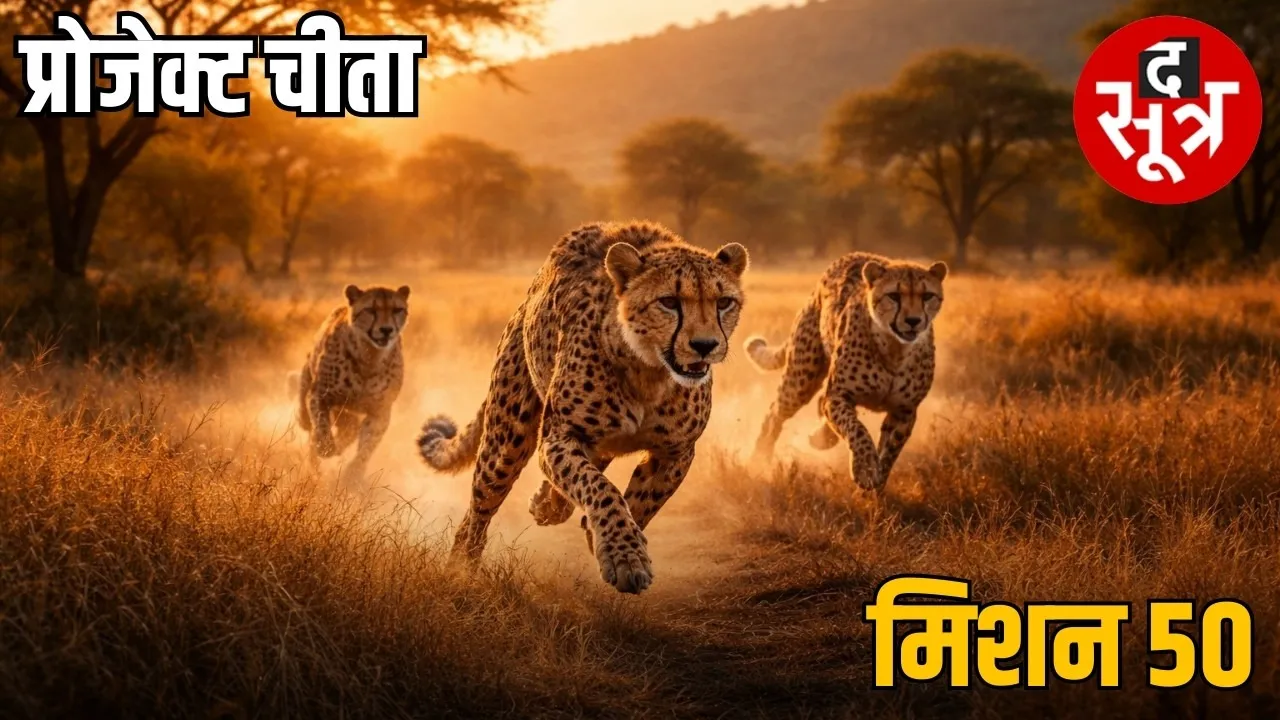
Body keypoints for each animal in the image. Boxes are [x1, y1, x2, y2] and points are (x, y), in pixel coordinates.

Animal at [293, 284, 410, 483]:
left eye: (397, 309)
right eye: (370, 310)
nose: (386, 330)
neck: (369, 356)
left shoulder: (380, 410)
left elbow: (368, 446)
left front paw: (353, 473)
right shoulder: (320, 395)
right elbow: (321, 423)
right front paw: (325, 447)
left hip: (347, 413)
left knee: (351, 429)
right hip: (311, 376)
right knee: (306, 404)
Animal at [417, 221, 749, 594]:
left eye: (724, 302)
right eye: (668, 302)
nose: (705, 345)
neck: (648, 371)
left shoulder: (677, 451)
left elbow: (644, 499)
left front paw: (608, 539)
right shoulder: (560, 436)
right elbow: (599, 488)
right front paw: (624, 555)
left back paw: (546, 504)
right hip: (507, 441)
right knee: (479, 509)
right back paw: (460, 570)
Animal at [746, 252, 947, 491]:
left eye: (927, 296)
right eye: (894, 296)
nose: (913, 321)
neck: (894, 350)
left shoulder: (904, 411)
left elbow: (890, 451)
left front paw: (877, 483)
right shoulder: (839, 395)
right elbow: (856, 429)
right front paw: (865, 469)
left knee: (819, 405)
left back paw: (820, 437)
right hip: (802, 378)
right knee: (775, 413)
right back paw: (758, 458)